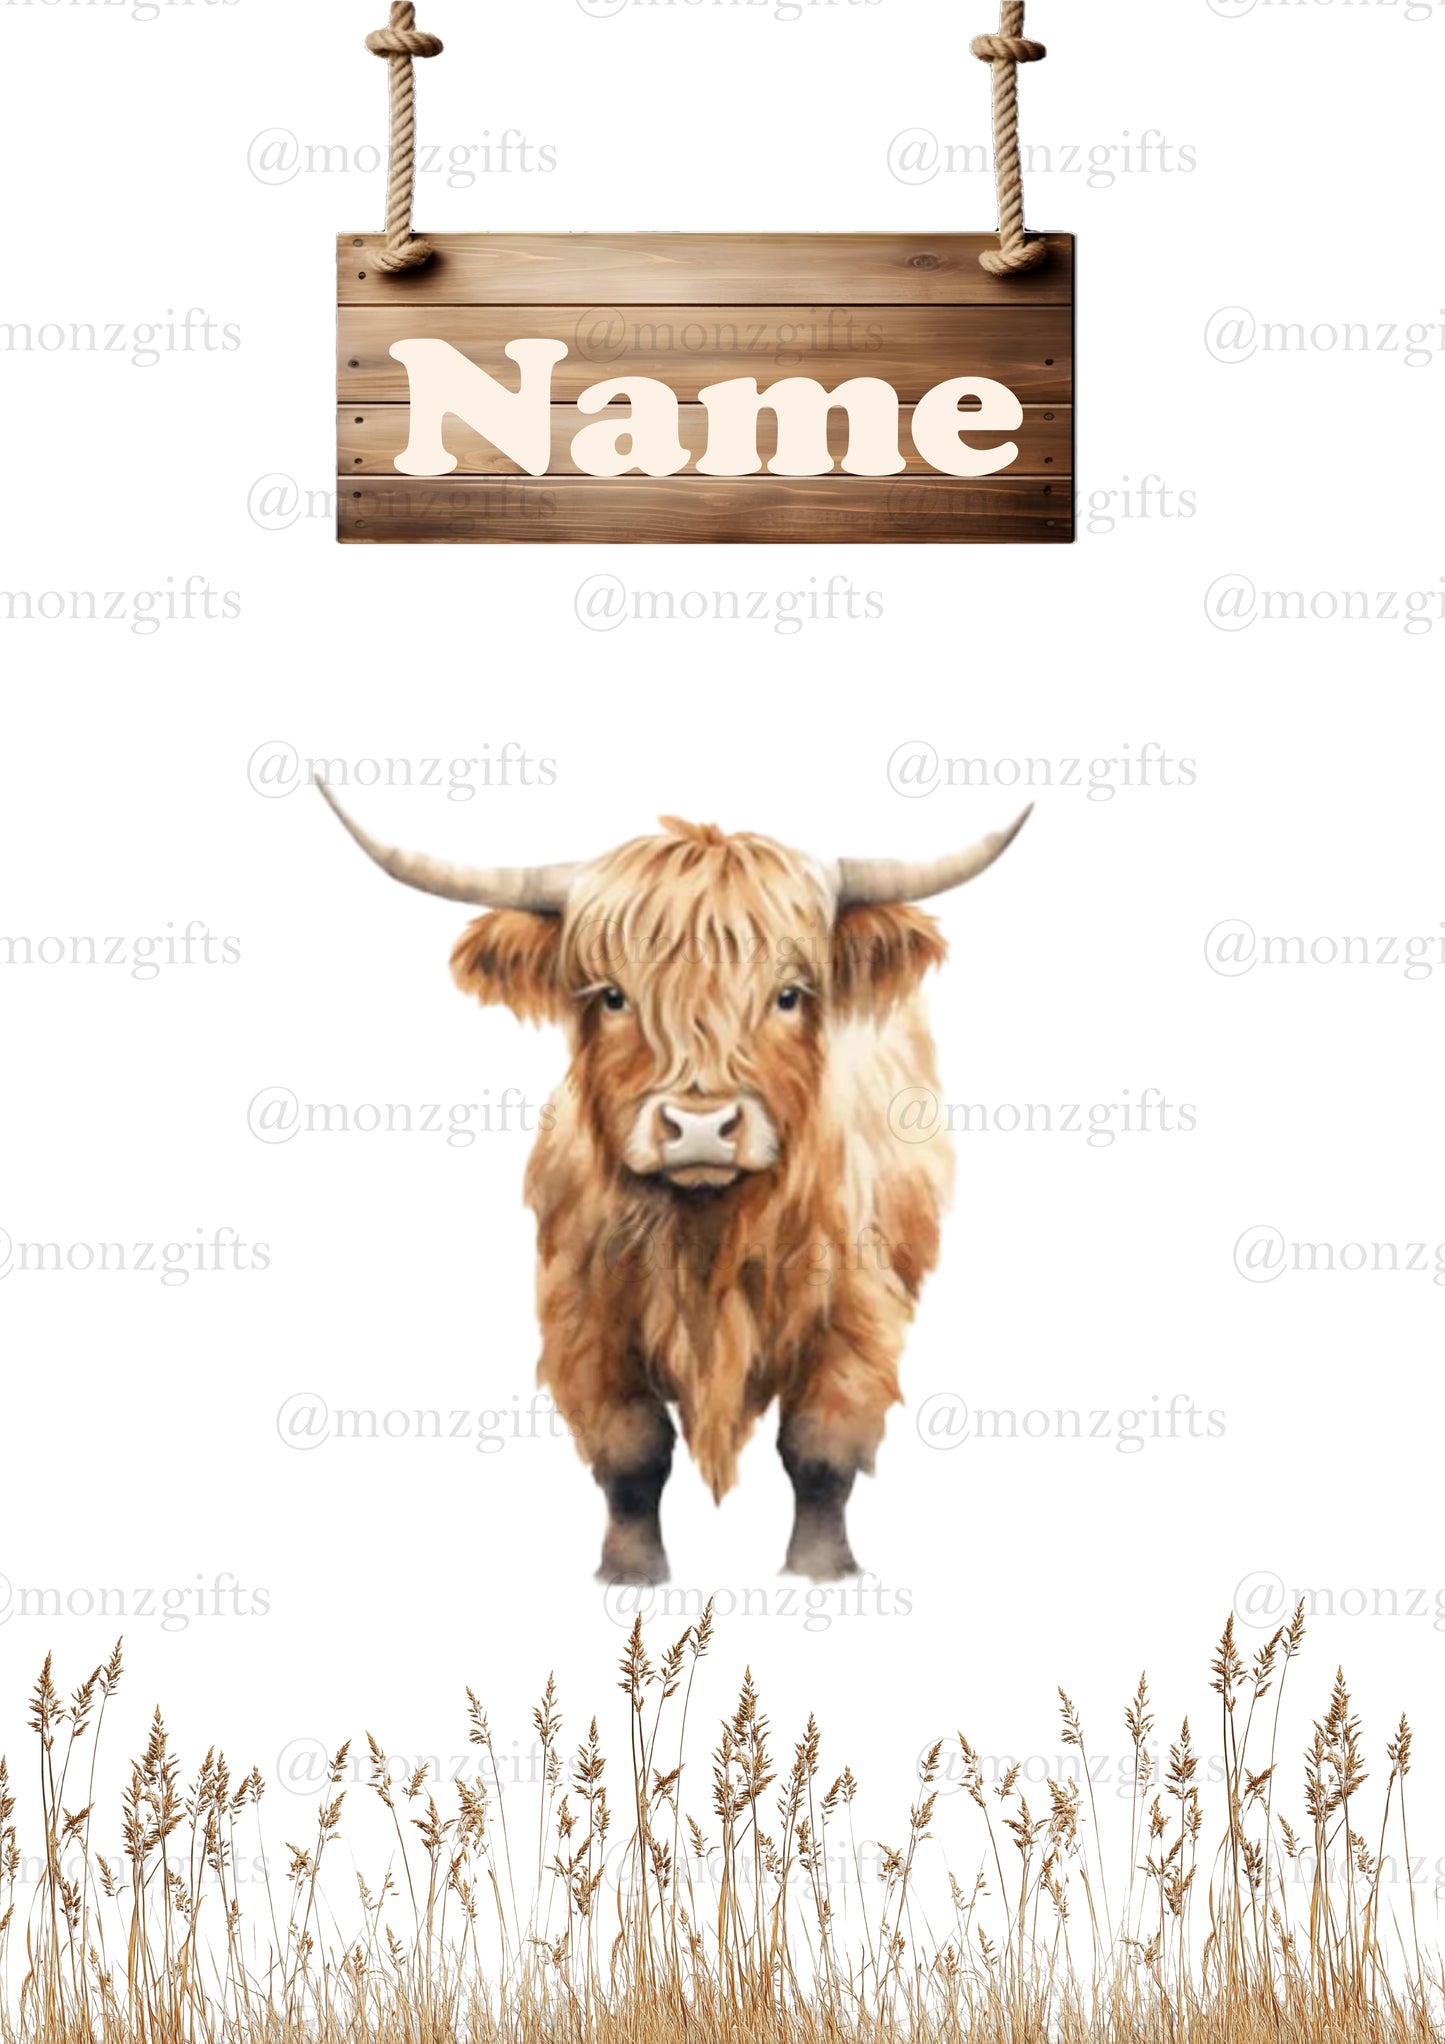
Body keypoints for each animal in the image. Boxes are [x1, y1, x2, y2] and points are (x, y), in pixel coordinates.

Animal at [317, 784, 1030, 1583]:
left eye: (788, 995)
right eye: (611, 996)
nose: (699, 1126)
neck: (705, 1234)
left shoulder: (858, 1312)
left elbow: (818, 1450)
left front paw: (818, 1573)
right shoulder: (585, 1316)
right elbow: (632, 1453)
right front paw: (631, 1574)